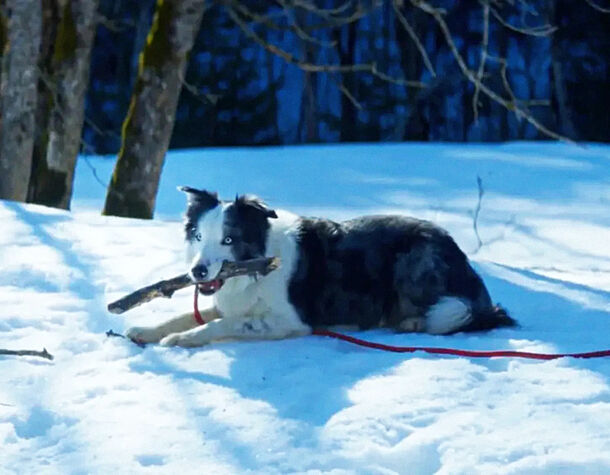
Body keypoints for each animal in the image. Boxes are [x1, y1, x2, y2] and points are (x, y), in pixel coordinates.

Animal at [124, 188, 512, 348]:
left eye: (229, 239)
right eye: (198, 235)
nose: (198, 273)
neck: (256, 269)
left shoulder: (290, 321)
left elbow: (223, 324)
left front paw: (183, 340)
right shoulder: (229, 301)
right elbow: (188, 316)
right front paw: (146, 330)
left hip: (415, 258)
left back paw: (411, 322)